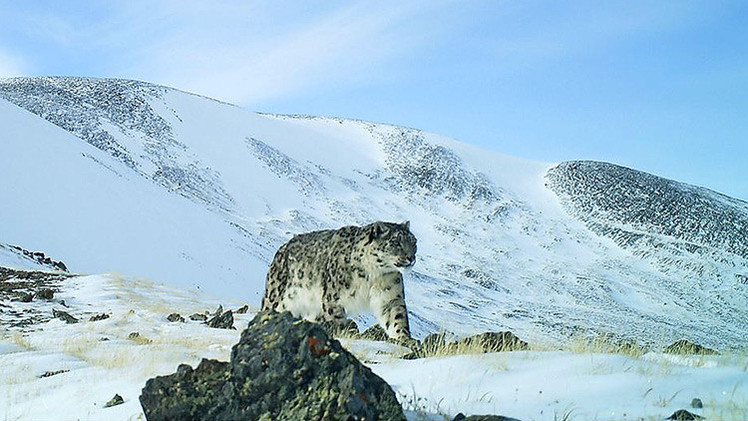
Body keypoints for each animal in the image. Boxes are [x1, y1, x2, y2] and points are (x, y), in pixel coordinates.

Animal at [261, 221, 417, 342]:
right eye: (396, 242)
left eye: (414, 242)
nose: (411, 258)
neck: (372, 275)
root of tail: (281, 250)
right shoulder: (334, 298)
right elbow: (337, 319)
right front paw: (345, 331)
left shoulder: (390, 295)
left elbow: (396, 317)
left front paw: (404, 339)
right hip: (277, 297)